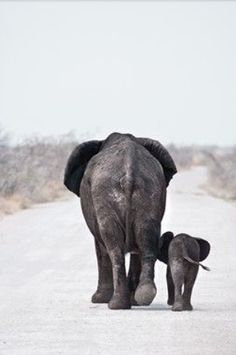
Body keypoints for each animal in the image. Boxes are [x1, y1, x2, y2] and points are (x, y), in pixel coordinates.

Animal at [63, 132, 176, 310]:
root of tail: (129, 173)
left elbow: (100, 248)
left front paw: (98, 299)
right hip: (150, 192)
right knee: (147, 237)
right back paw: (143, 296)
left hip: (105, 193)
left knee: (112, 246)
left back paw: (115, 304)